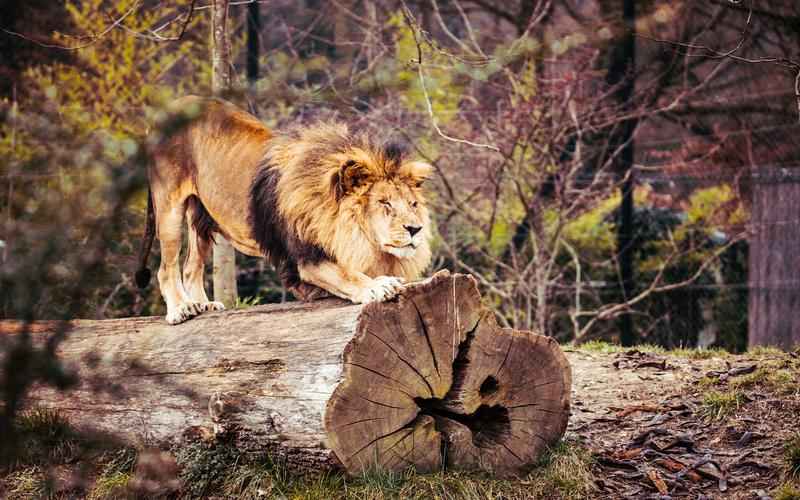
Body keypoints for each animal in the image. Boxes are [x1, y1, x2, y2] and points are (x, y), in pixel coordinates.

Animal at [139, 95, 438, 326]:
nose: (415, 229)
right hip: (169, 209)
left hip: (200, 216)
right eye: (385, 203)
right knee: (166, 268)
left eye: (412, 204)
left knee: (192, 265)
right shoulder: (307, 259)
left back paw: (204, 305)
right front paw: (377, 285)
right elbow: (346, 273)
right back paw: (181, 309)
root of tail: (165, 111)